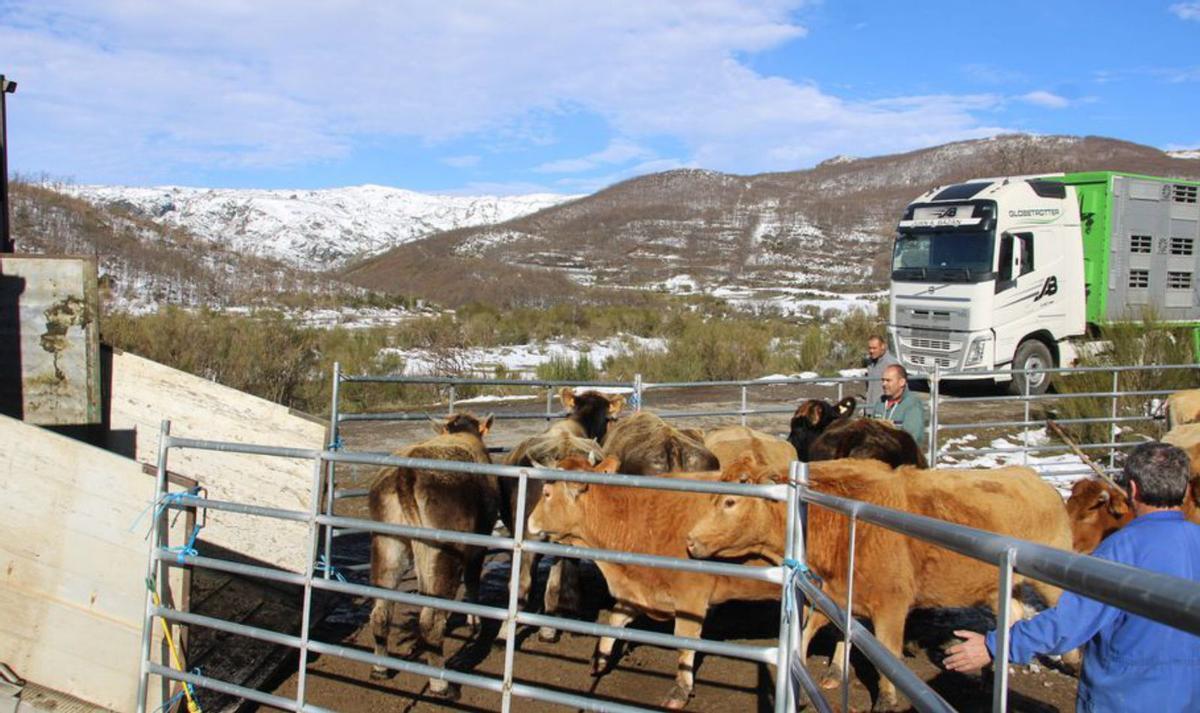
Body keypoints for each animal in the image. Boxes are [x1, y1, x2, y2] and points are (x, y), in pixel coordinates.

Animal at [364, 410, 496, 696]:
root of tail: (406, 472)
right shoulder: (480, 542)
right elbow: (473, 582)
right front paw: (475, 621)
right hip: (443, 551)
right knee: (431, 621)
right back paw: (440, 683)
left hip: (388, 543)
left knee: (380, 611)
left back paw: (379, 667)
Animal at [528, 456, 777, 705]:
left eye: (547, 493)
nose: (530, 521)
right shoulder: (638, 591)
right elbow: (615, 620)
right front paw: (599, 658)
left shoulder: (691, 597)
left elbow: (685, 640)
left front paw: (681, 690)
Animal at [686, 456, 1070, 710]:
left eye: (730, 501)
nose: (691, 541)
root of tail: (1035, 480)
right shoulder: (836, 591)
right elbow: (816, 630)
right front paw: (822, 670)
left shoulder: (891, 605)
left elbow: (886, 652)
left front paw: (885, 699)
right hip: (998, 588)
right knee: (1014, 616)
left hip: (1053, 581)